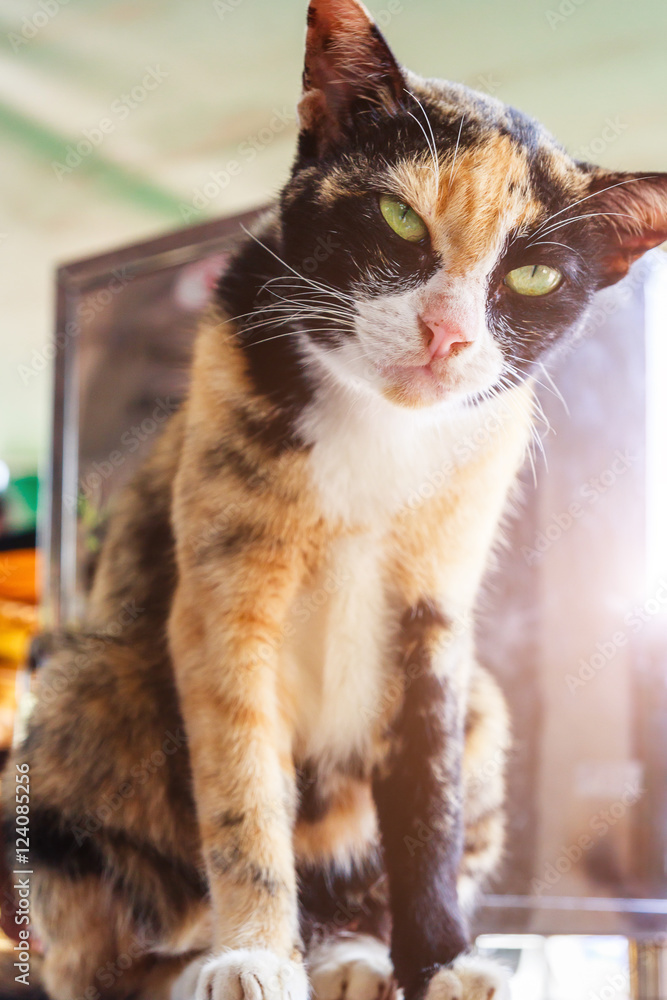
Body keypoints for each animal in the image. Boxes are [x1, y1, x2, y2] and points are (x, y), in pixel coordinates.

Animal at [1, 1, 667, 1000]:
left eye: (534, 275)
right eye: (397, 216)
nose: (446, 335)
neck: (376, 436)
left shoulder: (433, 622)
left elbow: (426, 806)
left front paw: (443, 962)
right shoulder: (222, 602)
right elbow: (242, 790)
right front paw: (251, 953)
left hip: (485, 702)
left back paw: (350, 953)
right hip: (90, 679)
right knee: (97, 954)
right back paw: (202, 963)